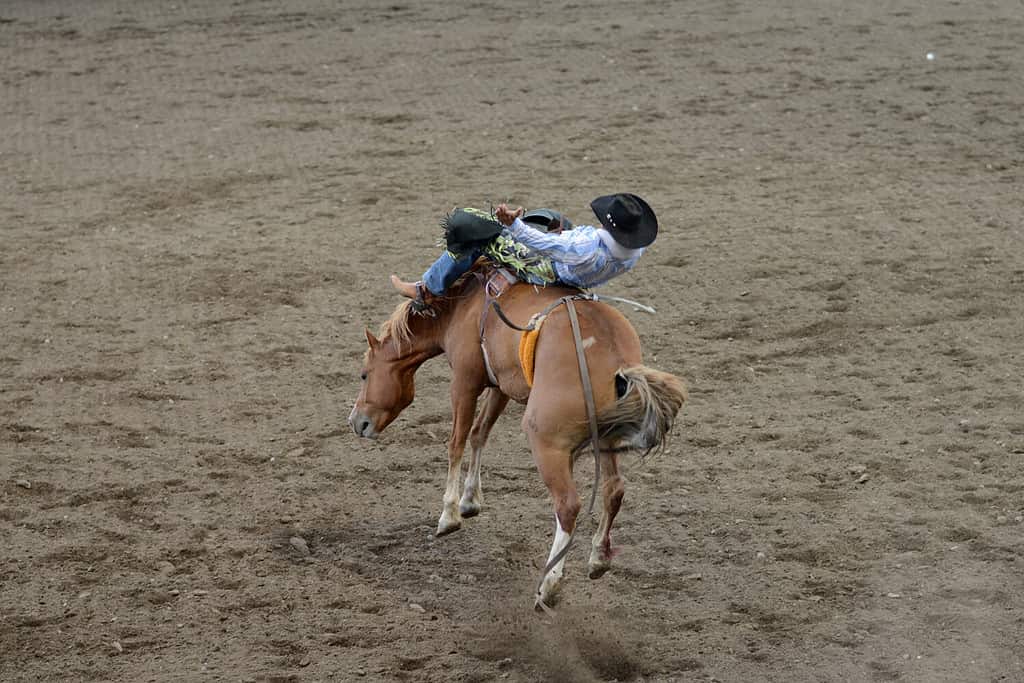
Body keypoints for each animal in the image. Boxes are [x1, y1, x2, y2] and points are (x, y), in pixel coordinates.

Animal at [346, 268, 688, 610]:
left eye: (363, 374)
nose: (357, 422)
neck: (461, 303)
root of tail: (617, 360)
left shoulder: (465, 382)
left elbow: (457, 441)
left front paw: (449, 515)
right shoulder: (501, 383)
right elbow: (479, 433)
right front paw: (470, 501)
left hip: (546, 441)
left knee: (568, 505)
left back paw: (549, 585)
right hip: (606, 438)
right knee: (613, 490)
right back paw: (598, 559)